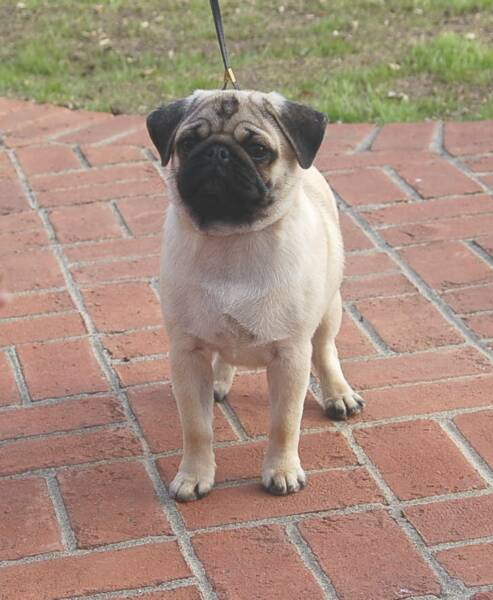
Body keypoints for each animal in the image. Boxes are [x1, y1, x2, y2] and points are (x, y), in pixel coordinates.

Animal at [146, 89, 364, 502]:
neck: (231, 240)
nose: (217, 152)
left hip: (330, 309)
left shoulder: (291, 355)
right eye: (188, 143)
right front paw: (194, 474)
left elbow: (284, 423)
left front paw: (282, 470)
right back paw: (218, 381)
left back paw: (338, 395)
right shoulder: (186, 352)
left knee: (326, 351)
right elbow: (196, 427)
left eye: (258, 149)